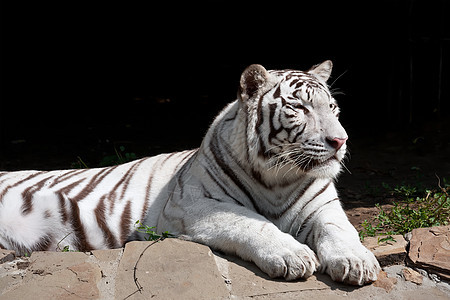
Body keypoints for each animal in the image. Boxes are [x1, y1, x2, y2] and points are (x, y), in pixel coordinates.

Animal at [0, 60, 380, 284]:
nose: (340, 140)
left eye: (331, 106)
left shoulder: (324, 207)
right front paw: (293, 256)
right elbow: (252, 223)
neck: (278, 179)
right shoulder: (192, 207)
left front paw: (358, 262)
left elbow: (341, 230)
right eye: (299, 108)